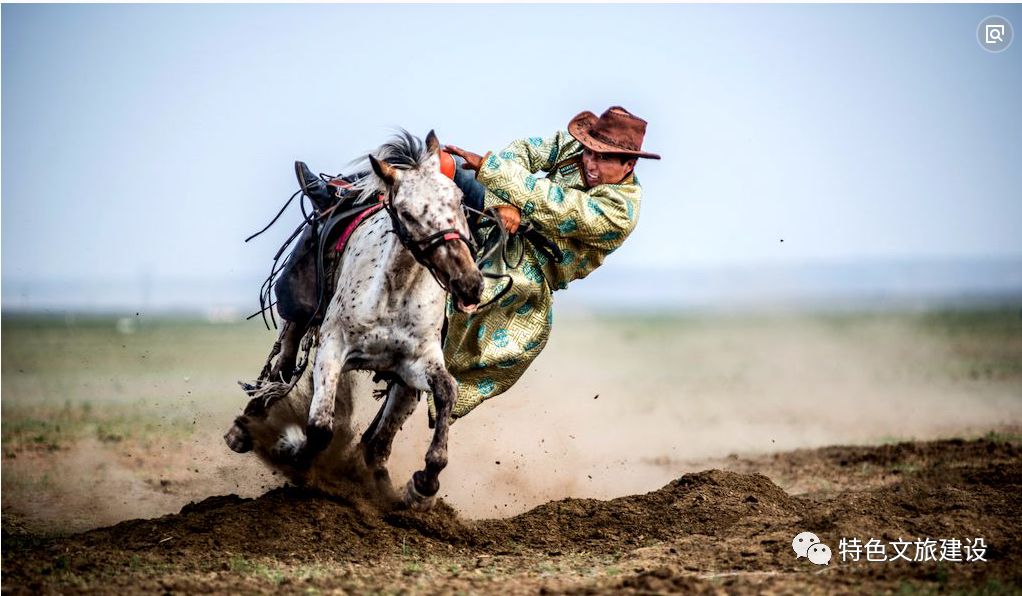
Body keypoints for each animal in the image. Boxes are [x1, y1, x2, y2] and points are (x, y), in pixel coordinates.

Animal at [226, 129, 486, 509]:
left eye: (459, 199)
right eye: (406, 213)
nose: (469, 282)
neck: (393, 292)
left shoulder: (417, 362)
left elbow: (446, 391)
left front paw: (424, 483)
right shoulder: (333, 348)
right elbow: (320, 427)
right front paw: (293, 452)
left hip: (402, 384)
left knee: (379, 441)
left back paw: (384, 485)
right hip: (297, 323)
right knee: (280, 372)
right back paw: (244, 429)